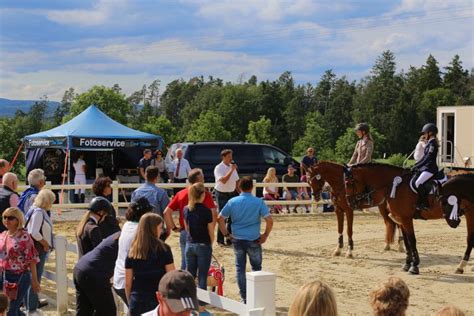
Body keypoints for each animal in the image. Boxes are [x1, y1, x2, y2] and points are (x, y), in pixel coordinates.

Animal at [344, 163, 474, 274]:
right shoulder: (401, 219)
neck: (395, 185)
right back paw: (461, 267)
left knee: (470, 240)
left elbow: (412, 240)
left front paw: (414, 266)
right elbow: (406, 242)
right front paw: (407, 264)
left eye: (349, 183)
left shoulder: (406, 219)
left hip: (470, 214)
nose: (350, 203)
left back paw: (461, 266)